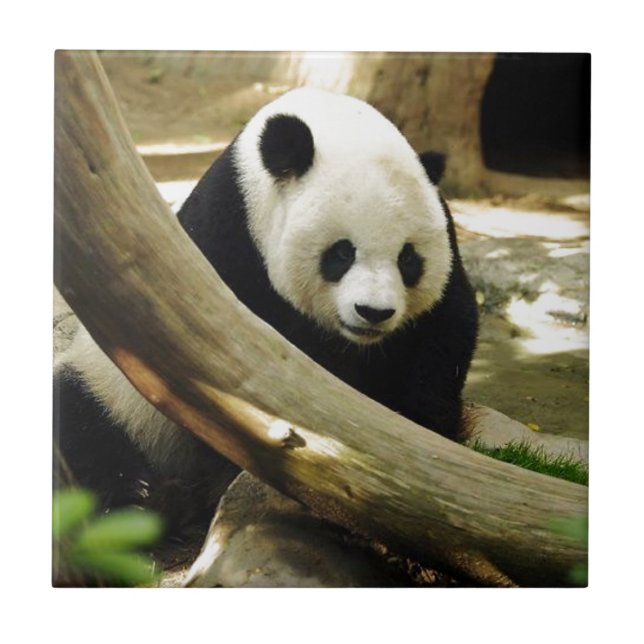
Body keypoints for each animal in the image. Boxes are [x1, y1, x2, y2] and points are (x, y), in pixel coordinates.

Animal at [54, 88, 478, 532]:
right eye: (342, 253)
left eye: (408, 259)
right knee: (83, 427)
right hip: (111, 390)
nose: (373, 312)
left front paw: (421, 434)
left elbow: (444, 332)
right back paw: (144, 499)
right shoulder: (227, 244)